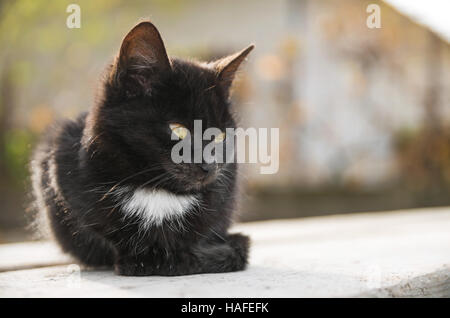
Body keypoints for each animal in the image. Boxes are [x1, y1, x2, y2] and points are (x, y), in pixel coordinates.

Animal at [29, 22, 253, 276]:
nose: (209, 166)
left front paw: (180, 259)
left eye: (220, 136)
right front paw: (141, 260)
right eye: (179, 129)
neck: (156, 190)